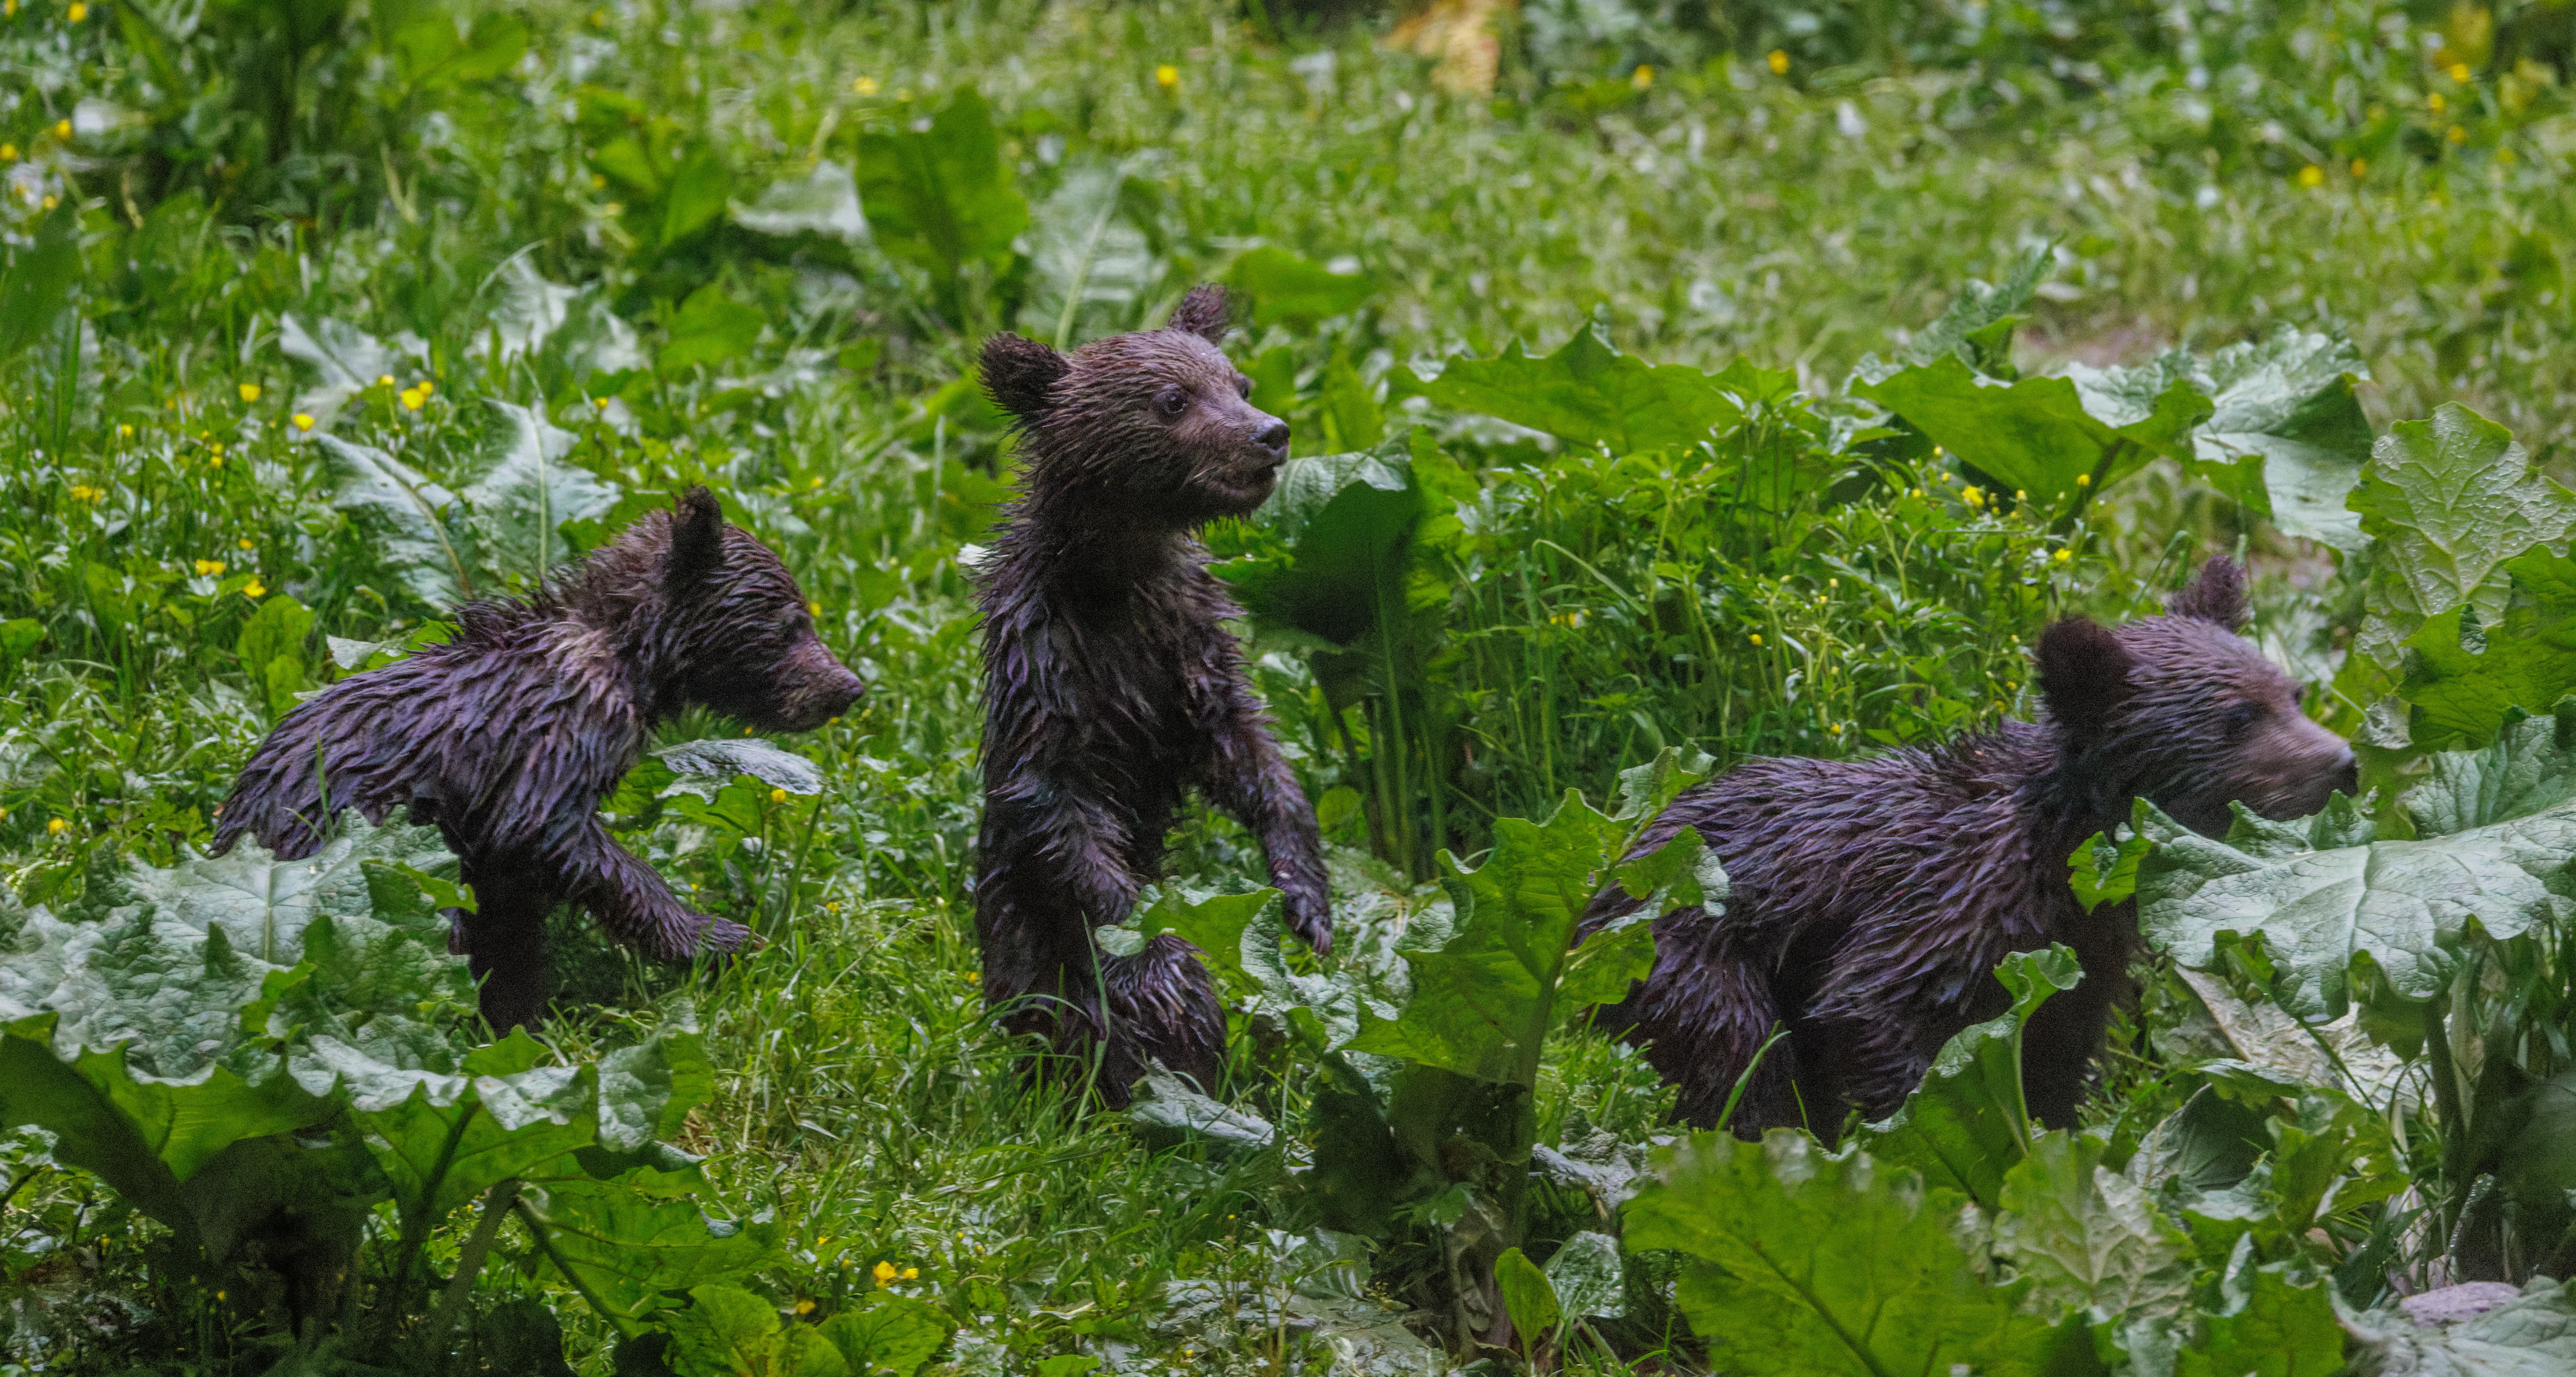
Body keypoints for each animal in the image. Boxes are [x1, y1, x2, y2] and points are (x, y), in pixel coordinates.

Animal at [213, 487, 864, 1032]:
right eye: (789, 623)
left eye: (805, 614)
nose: (849, 687)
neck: (627, 661)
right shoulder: (539, 761)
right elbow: (566, 850)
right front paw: (721, 938)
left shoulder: (491, 852)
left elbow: (512, 932)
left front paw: (520, 1018)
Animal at [972, 284, 1330, 1106]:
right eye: (1172, 399)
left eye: (1239, 382)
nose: (1270, 434)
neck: (1116, 588)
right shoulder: (1049, 672)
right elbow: (1064, 821)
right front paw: (1161, 958)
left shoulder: (1189, 657)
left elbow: (1252, 757)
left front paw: (1306, 899)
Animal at [1580, 557, 2357, 1138]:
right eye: (2238, 716)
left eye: (2294, 691)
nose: (2343, 762)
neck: (2065, 869)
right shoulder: (1935, 920)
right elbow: (1873, 1023)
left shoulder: (2075, 974)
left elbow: (2053, 1071)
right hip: (1688, 960)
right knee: (1738, 1066)